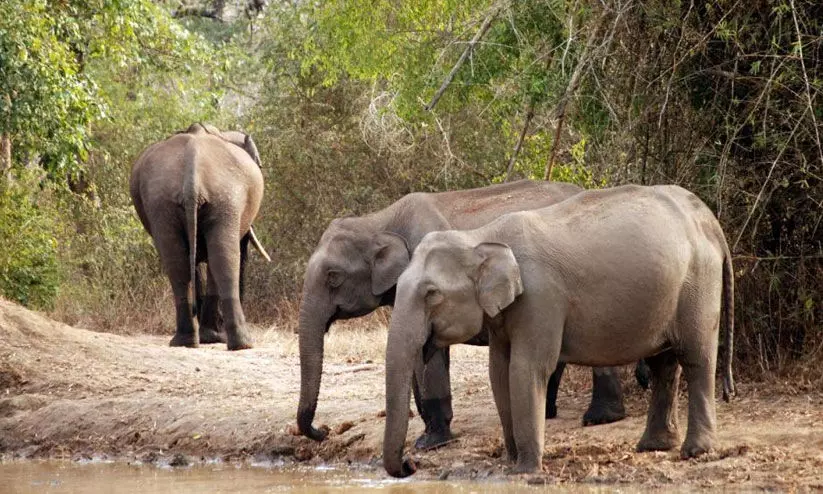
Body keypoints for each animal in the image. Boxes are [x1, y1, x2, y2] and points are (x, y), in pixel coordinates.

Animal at [130, 121, 270, 350]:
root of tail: (192, 176)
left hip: (163, 202)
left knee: (179, 262)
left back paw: (188, 341)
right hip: (225, 197)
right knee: (222, 258)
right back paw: (234, 342)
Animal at [298, 179, 636, 450]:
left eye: (333, 277)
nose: (324, 430)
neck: (378, 221)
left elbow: (431, 356)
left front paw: (430, 444)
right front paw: (428, 434)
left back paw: (600, 418)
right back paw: (552, 412)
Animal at [384, 183, 736, 476]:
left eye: (431, 294)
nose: (410, 464)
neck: (481, 236)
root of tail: (709, 220)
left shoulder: (540, 298)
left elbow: (527, 368)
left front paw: (525, 470)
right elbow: (499, 371)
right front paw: (511, 461)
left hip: (698, 283)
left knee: (696, 358)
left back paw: (695, 451)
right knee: (664, 363)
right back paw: (653, 446)